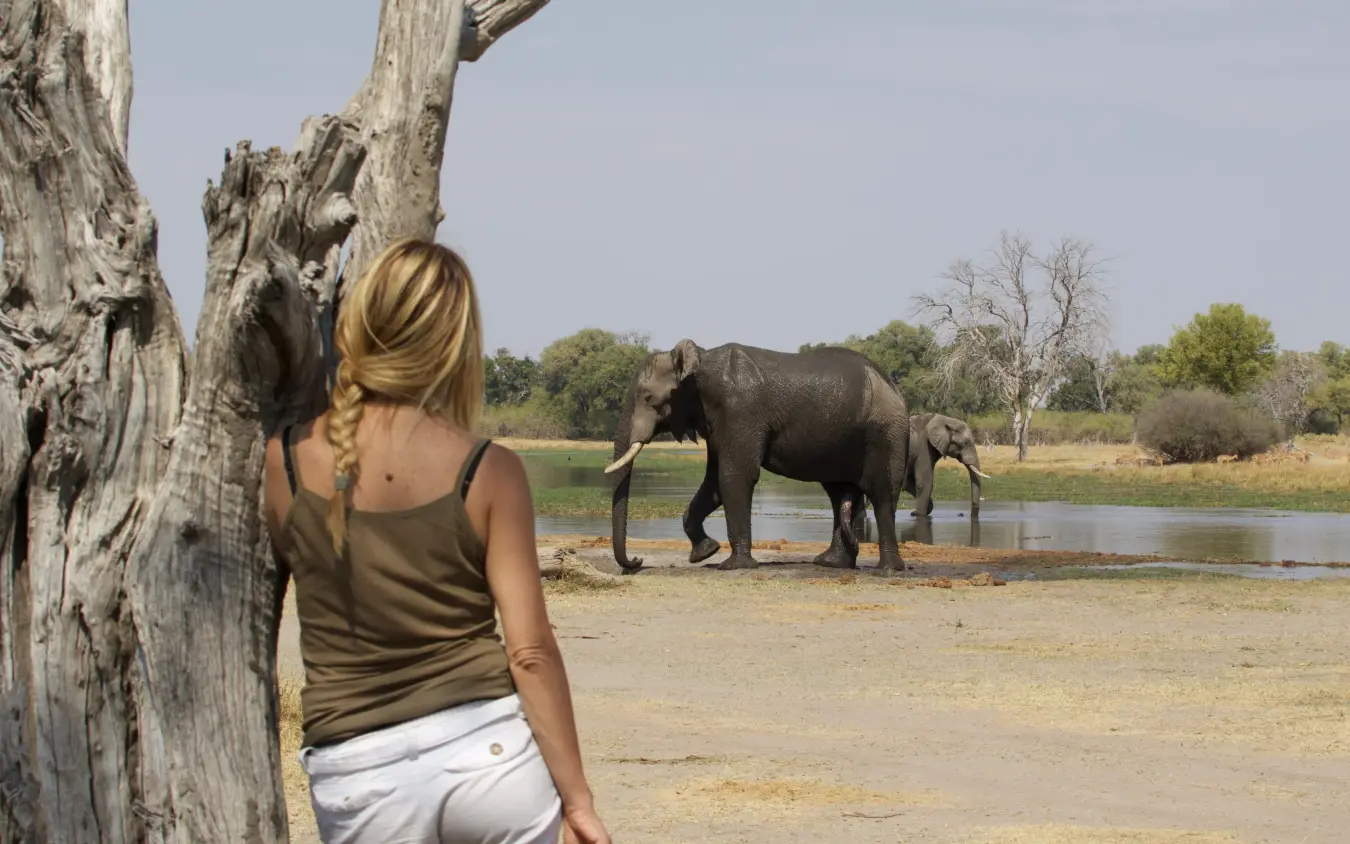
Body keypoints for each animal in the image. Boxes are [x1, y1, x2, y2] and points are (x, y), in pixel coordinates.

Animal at [606, 340, 911, 573]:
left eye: (648, 398)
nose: (636, 561)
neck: (700, 362)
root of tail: (894, 387)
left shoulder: (740, 412)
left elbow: (733, 476)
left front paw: (732, 566)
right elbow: (714, 483)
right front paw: (705, 553)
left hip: (886, 432)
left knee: (882, 494)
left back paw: (887, 570)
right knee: (840, 495)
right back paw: (831, 563)